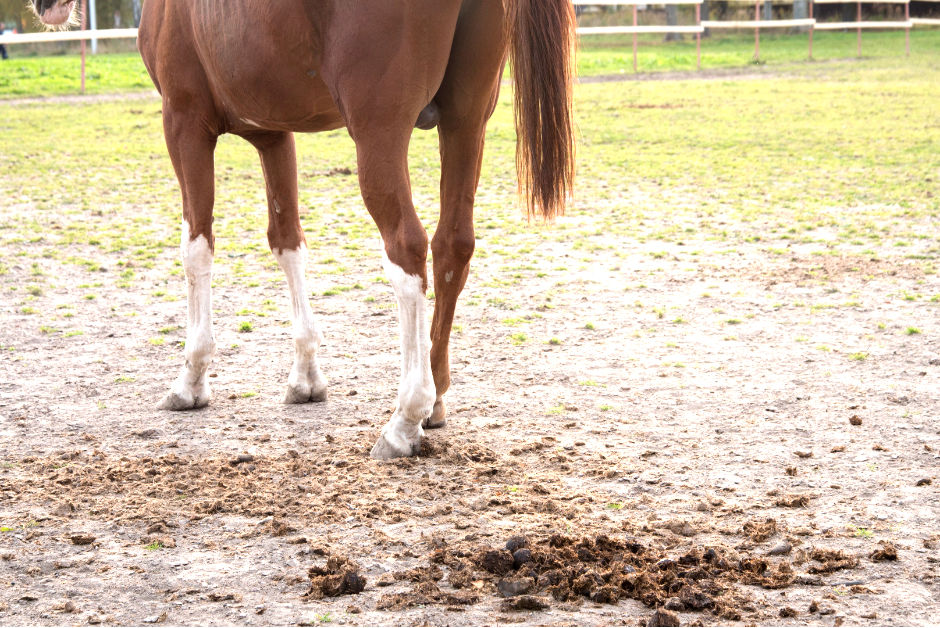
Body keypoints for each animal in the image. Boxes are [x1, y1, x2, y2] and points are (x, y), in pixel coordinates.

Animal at [30, 0, 575, 459]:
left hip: (379, 132)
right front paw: (307, 377)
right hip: (466, 123)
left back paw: (405, 417)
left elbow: (197, 248)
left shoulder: (184, 123)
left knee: (408, 249)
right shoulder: (272, 133)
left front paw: (191, 380)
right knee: (452, 247)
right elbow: (288, 242)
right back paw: (435, 401)